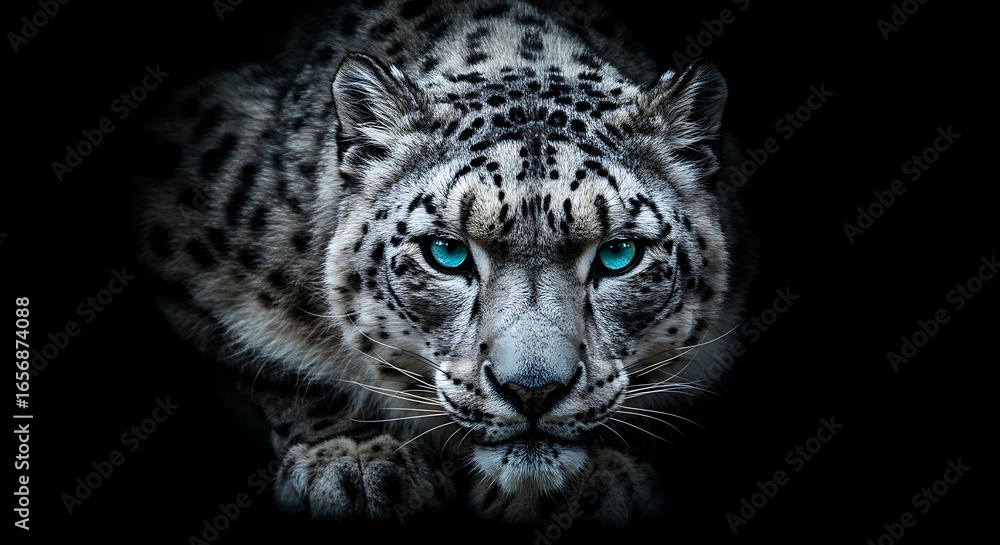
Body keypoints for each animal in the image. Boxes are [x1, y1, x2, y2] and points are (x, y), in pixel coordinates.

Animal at [132, 0, 756, 528]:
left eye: (618, 254)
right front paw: (355, 461)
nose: (533, 391)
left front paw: (593, 480)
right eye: (447, 253)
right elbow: (270, 368)